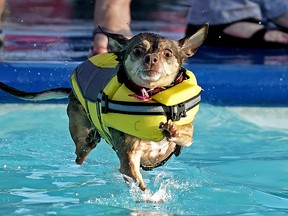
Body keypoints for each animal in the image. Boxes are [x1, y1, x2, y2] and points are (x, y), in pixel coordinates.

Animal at [0, 25, 207, 191]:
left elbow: (186, 134)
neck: (151, 96)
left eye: (168, 53)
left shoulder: (186, 136)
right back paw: (88, 143)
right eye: (138, 50)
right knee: (79, 154)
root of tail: (71, 92)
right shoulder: (129, 159)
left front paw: (173, 129)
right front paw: (149, 198)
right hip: (78, 124)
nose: (151, 59)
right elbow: (139, 183)